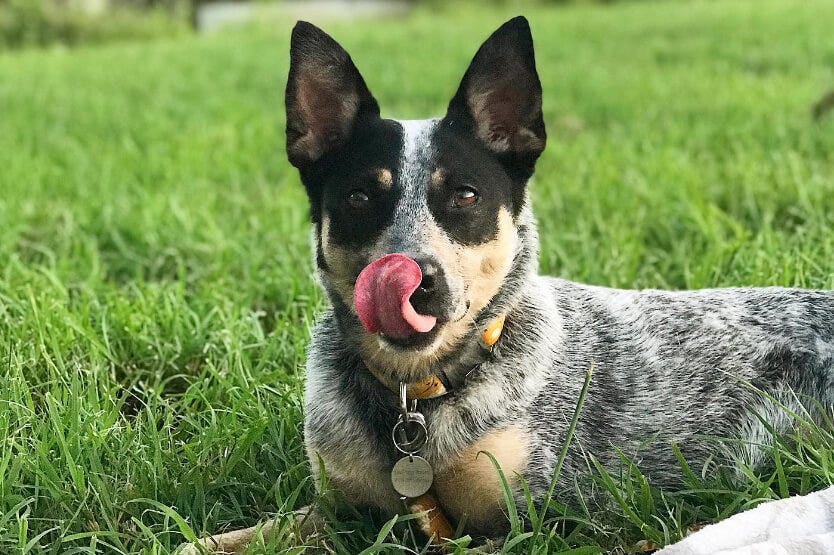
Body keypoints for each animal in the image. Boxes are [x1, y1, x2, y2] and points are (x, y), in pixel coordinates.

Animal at [185, 15, 832, 552]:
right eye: (360, 197)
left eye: (466, 195)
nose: (416, 282)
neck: (417, 399)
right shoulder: (341, 509)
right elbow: (235, 536)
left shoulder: (543, 523)